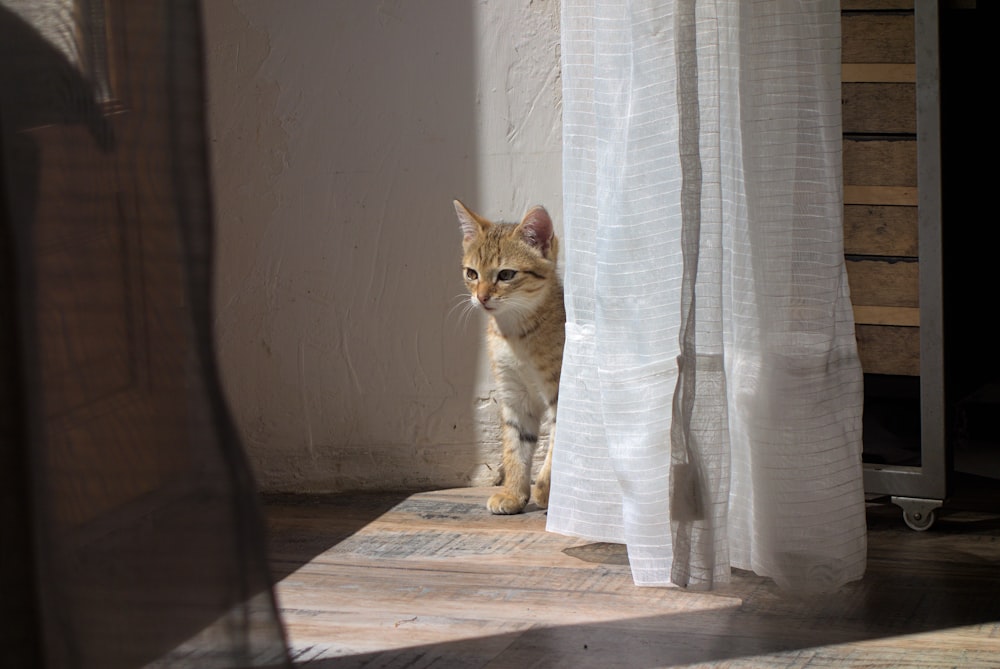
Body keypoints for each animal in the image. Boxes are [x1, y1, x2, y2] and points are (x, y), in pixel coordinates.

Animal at [456, 198, 568, 512]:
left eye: (506, 274)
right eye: (472, 274)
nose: (481, 297)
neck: (515, 335)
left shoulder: (561, 390)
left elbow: (558, 440)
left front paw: (546, 490)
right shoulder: (514, 395)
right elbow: (515, 445)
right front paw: (514, 493)